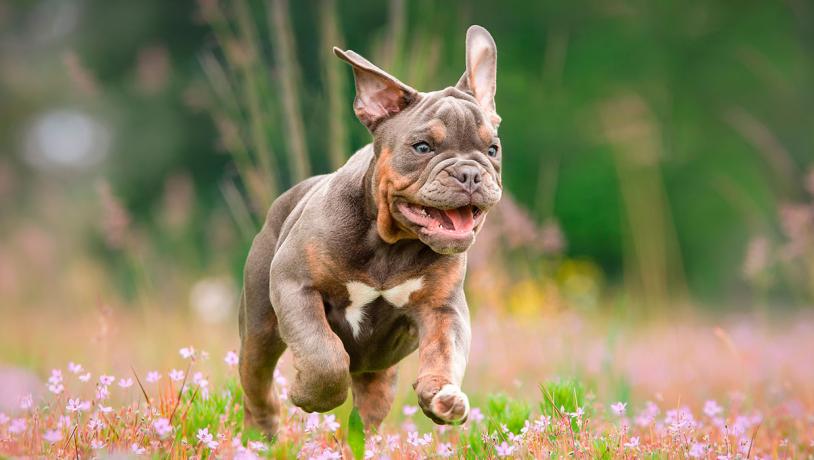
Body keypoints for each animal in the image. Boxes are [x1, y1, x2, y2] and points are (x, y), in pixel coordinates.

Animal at [237, 26, 504, 438]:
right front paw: (311, 395)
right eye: (422, 147)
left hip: (378, 378)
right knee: (257, 386)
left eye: (492, 150)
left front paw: (442, 395)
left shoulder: (443, 308)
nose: (471, 173)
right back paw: (261, 435)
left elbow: (445, 351)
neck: (390, 244)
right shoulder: (295, 285)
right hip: (259, 331)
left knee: (364, 420)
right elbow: (323, 352)